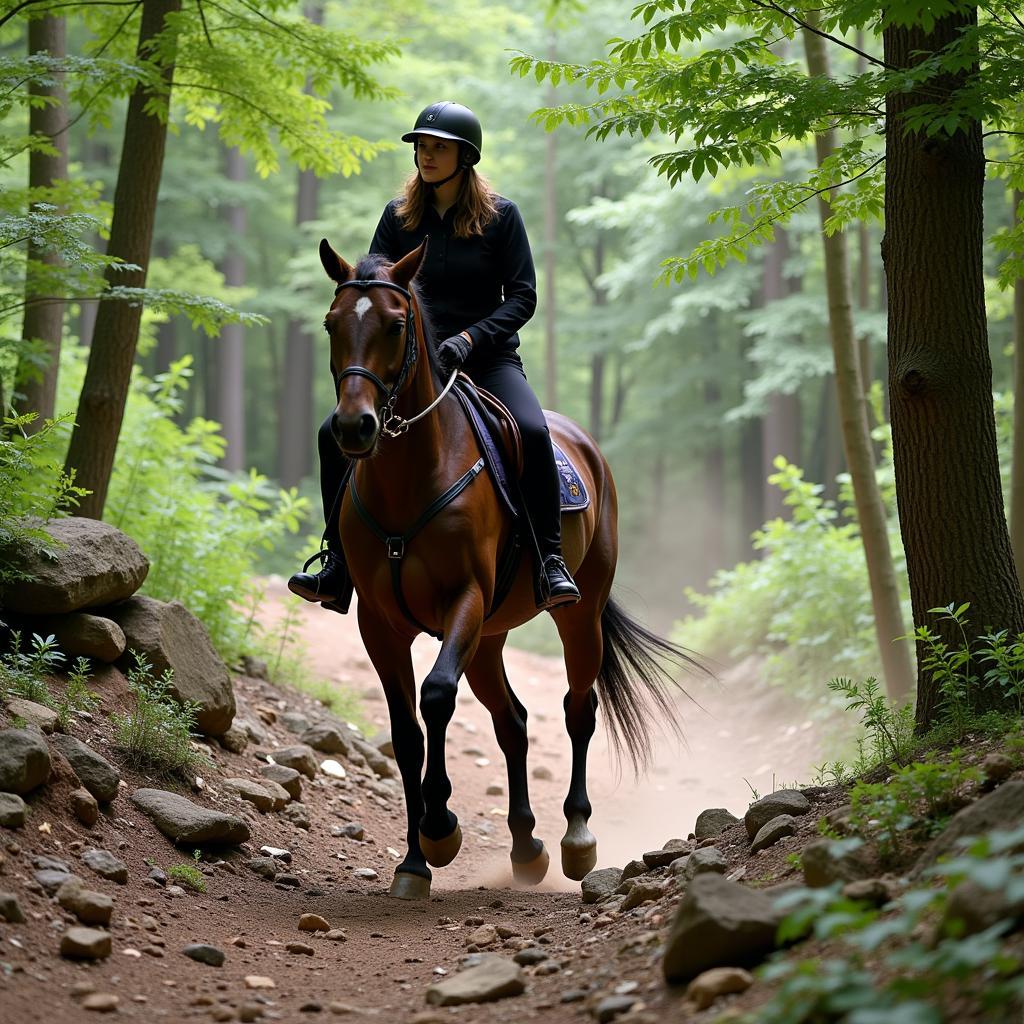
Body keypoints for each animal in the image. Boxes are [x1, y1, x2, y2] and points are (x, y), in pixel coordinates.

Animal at [319, 237, 692, 897]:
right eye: (332, 324)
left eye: (395, 324)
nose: (353, 426)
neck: (411, 476)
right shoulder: (380, 624)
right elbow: (406, 733)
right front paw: (413, 861)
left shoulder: (463, 599)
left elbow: (437, 696)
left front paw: (441, 828)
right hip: (488, 638)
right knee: (512, 720)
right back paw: (525, 847)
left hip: (577, 617)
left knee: (577, 708)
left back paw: (576, 840)